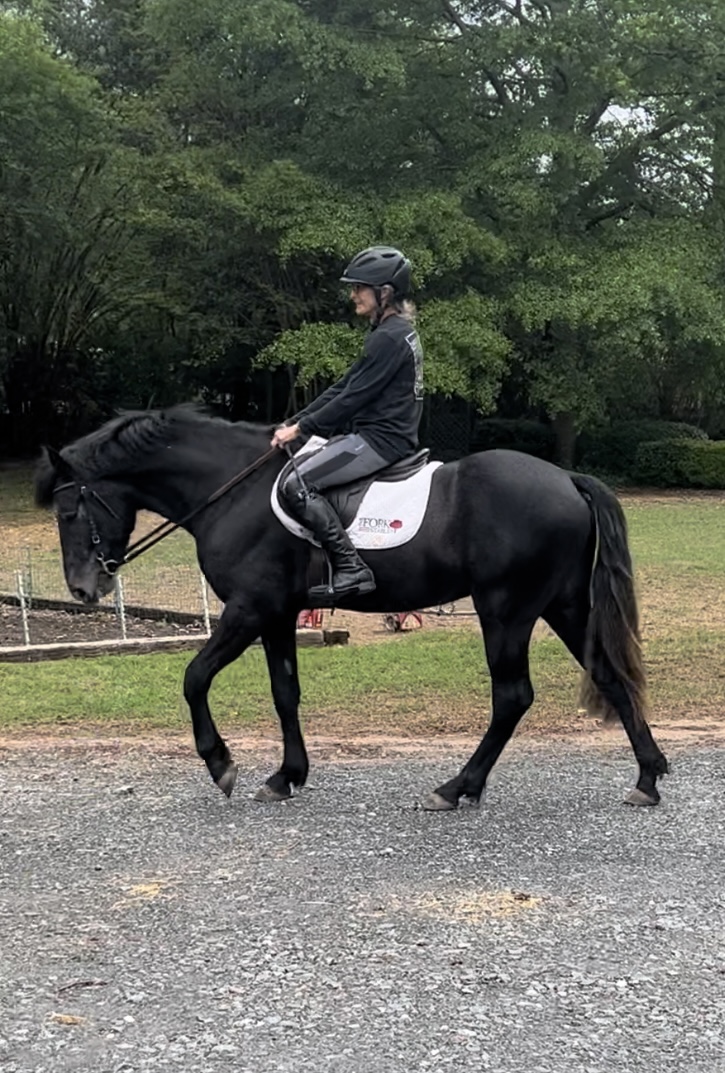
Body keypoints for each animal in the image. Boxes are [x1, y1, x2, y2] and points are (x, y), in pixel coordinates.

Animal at [34, 405, 669, 806]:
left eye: (68, 512)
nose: (83, 590)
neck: (231, 490)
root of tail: (566, 478)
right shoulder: (278, 614)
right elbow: (284, 692)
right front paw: (287, 776)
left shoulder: (248, 608)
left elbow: (194, 677)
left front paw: (222, 765)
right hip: (562, 606)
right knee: (610, 676)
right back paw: (648, 776)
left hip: (505, 611)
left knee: (512, 697)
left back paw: (456, 787)